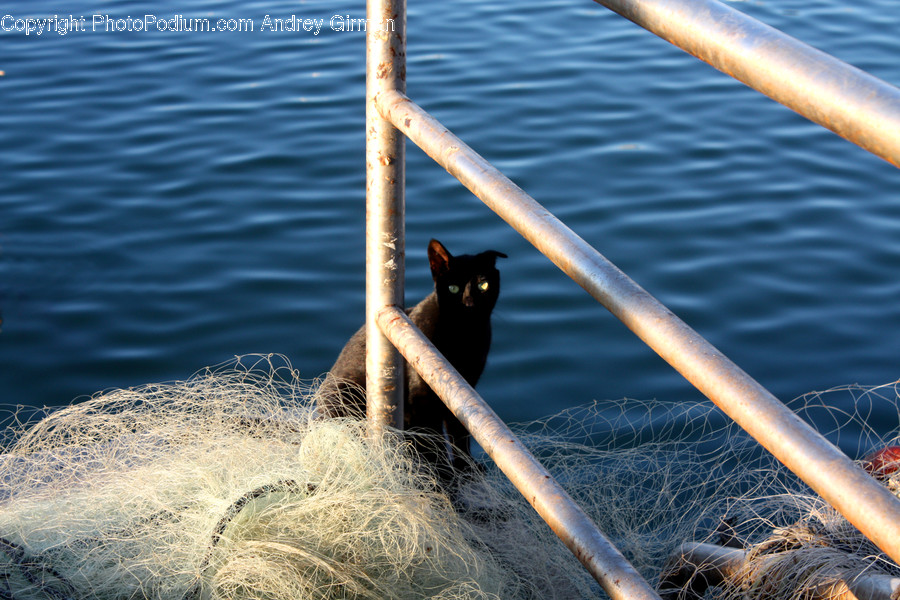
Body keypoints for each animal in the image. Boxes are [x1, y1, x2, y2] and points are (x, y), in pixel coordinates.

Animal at [322, 237, 506, 476]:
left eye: (483, 286)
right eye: (453, 288)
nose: (469, 304)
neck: (463, 337)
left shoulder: (464, 391)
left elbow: (459, 434)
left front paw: (465, 467)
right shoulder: (421, 399)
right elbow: (434, 441)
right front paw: (443, 473)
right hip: (347, 393)